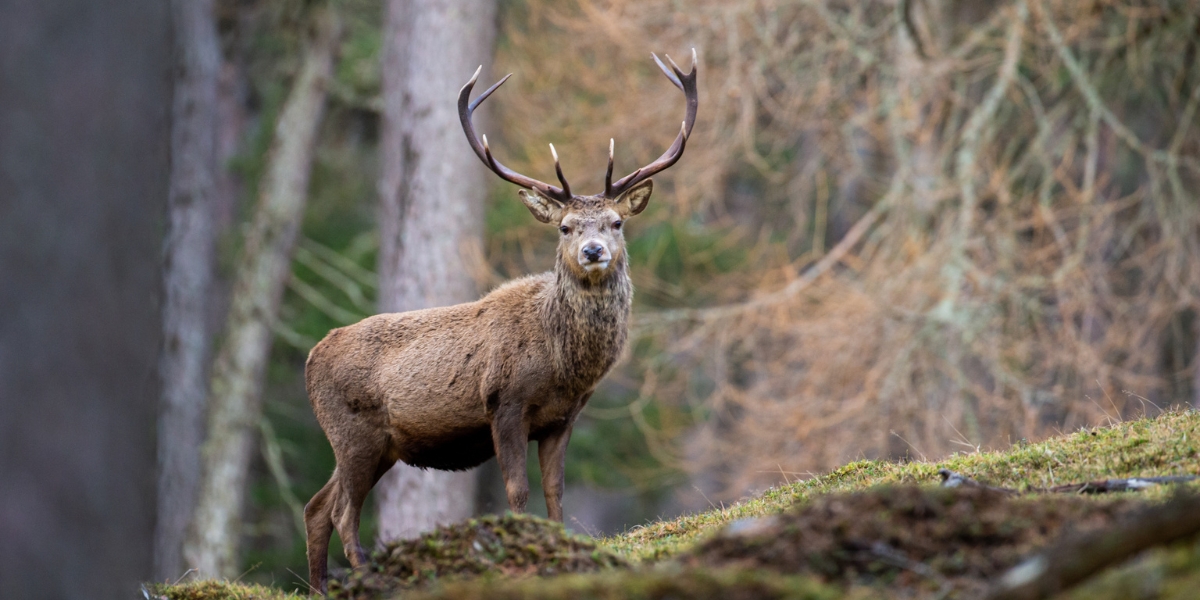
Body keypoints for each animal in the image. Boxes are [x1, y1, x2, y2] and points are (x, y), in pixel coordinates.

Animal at [302, 50, 697, 593]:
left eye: (616, 223)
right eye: (565, 227)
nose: (593, 251)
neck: (562, 364)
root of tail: (311, 357)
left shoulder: (563, 417)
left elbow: (555, 490)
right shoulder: (504, 403)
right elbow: (517, 491)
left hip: (377, 444)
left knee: (316, 506)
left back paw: (321, 587)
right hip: (353, 430)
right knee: (342, 510)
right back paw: (367, 579)